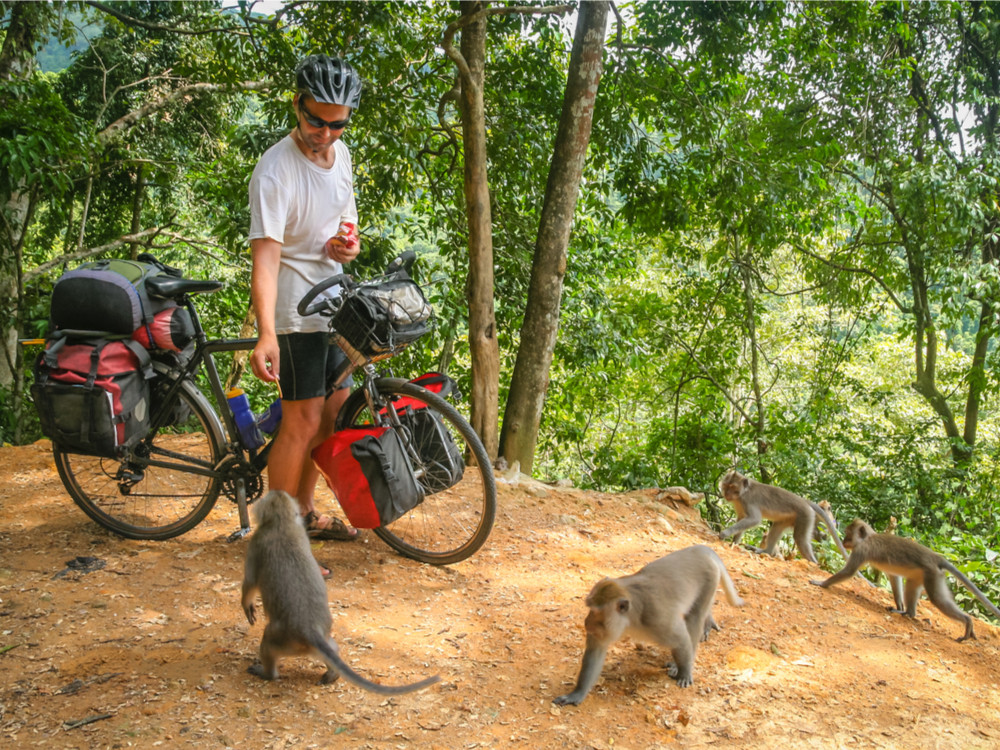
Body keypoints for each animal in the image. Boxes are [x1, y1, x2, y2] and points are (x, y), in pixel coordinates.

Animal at [240, 490, 440, 696]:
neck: (281, 522)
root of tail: (311, 631)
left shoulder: (257, 542)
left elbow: (250, 583)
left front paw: (247, 605)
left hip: (283, 639)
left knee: (268, 644)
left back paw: (266, 673)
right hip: (319, 636)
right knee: (331, 647)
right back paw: (333, 673)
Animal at [556, 544, 744, 708]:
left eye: (595, 612)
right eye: (589, 608)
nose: (586, 621)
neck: (631, 618)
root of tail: (702, 549)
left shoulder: (658, 619)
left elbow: (681, 639)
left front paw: (685, 671)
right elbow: (595, 651)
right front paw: (577, 694)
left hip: (709, 579)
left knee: (694, 616)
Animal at [716, 470, 848, 564]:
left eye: (733, 487)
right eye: (726, 485)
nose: (726, 494)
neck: (743, 493)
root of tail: (804, 501)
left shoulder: (748, 501)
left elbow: (754, 519)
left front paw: (725, 533)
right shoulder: (739, 503)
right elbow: (742, 519)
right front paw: (734, 542)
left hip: (806, 515)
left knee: (800, 539)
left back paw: (812, 562)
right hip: (789, 519)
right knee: (776, 528)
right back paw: (766, 551)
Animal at [808, 520, 1000, 644]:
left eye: (848, 534)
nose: (844, 541)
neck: (868, 538)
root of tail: (935, 557)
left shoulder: (862, 550)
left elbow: (849, 572)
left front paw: (821, 583)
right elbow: (894, 577)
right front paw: (899, 604)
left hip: (932, 575)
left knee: (937, 599)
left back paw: (967, 622)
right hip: (922, 576)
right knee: (911, 587)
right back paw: (907, 612)